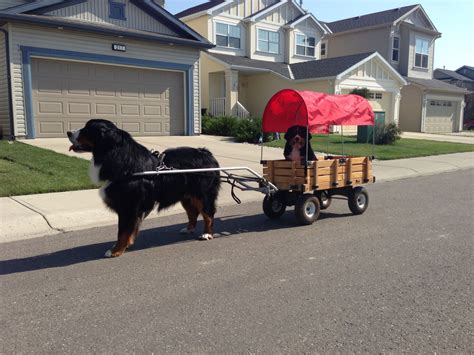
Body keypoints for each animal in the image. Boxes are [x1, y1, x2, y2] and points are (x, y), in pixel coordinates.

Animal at [66, 119, 220, 258]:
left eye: (87, 129)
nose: (68, 132)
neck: (120, 158)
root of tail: (206, 153)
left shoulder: (128, 207)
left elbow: (122, 231)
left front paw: (116, 250)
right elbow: (129, 229)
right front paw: (124, 246)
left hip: (203, 195)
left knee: (208, 214)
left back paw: (207, 233)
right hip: (186, 196)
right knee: (193, 213)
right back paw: (189, 229)